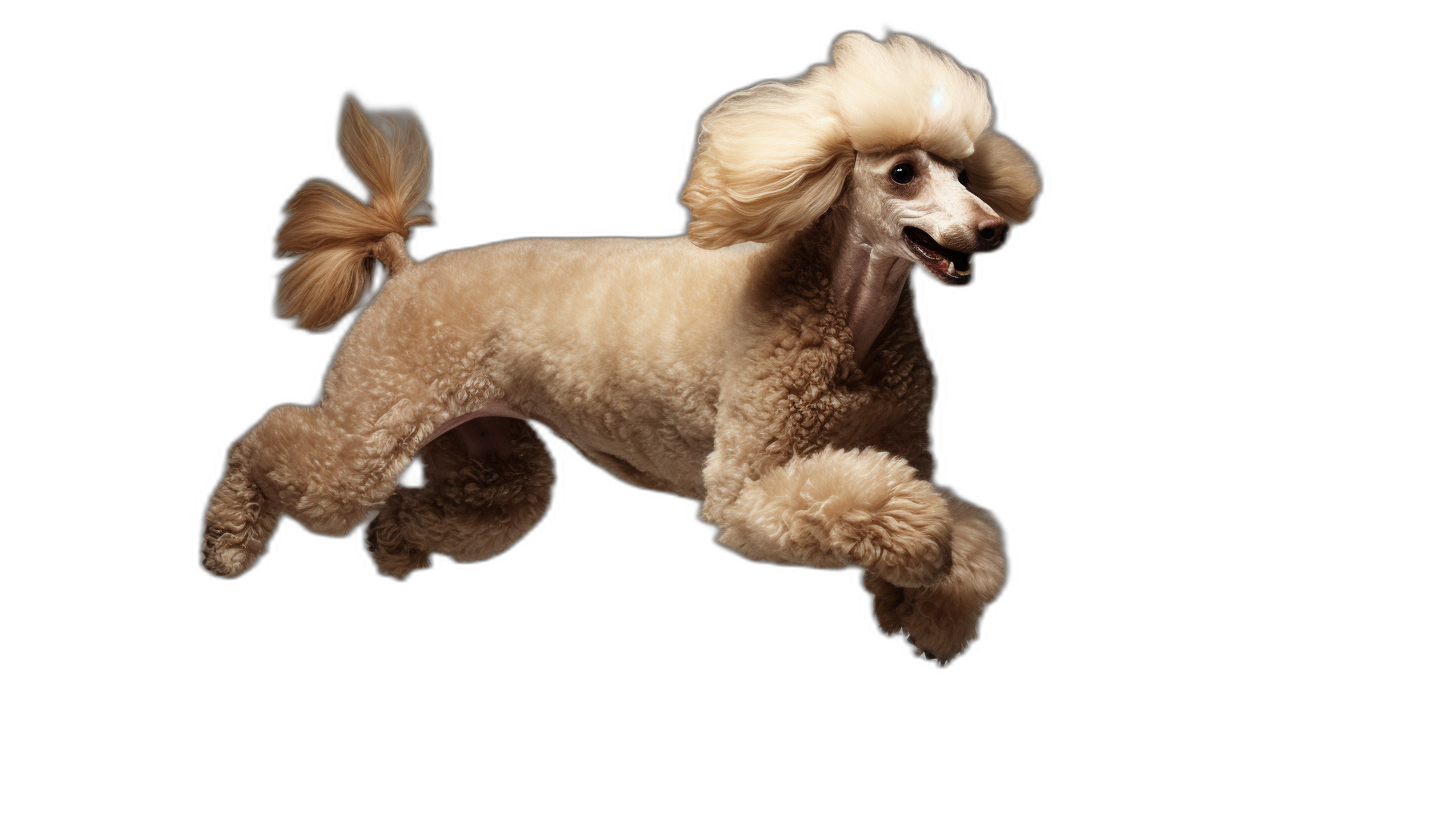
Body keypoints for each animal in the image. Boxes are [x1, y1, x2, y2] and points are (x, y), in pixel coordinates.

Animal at [205, 34, 1042, 667]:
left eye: (966, 172)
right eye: (902, 172)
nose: (994, 228)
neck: (848, 315)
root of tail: (407, 271)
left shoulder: (904, 449)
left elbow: (958, 525)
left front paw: (927, 607)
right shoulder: (746, 485)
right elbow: (881, 508)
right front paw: (921, 552)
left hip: (483, 448)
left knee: (466, 504)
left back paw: (395, 544)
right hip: (378, 412)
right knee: (277, 442)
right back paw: (227, 542)